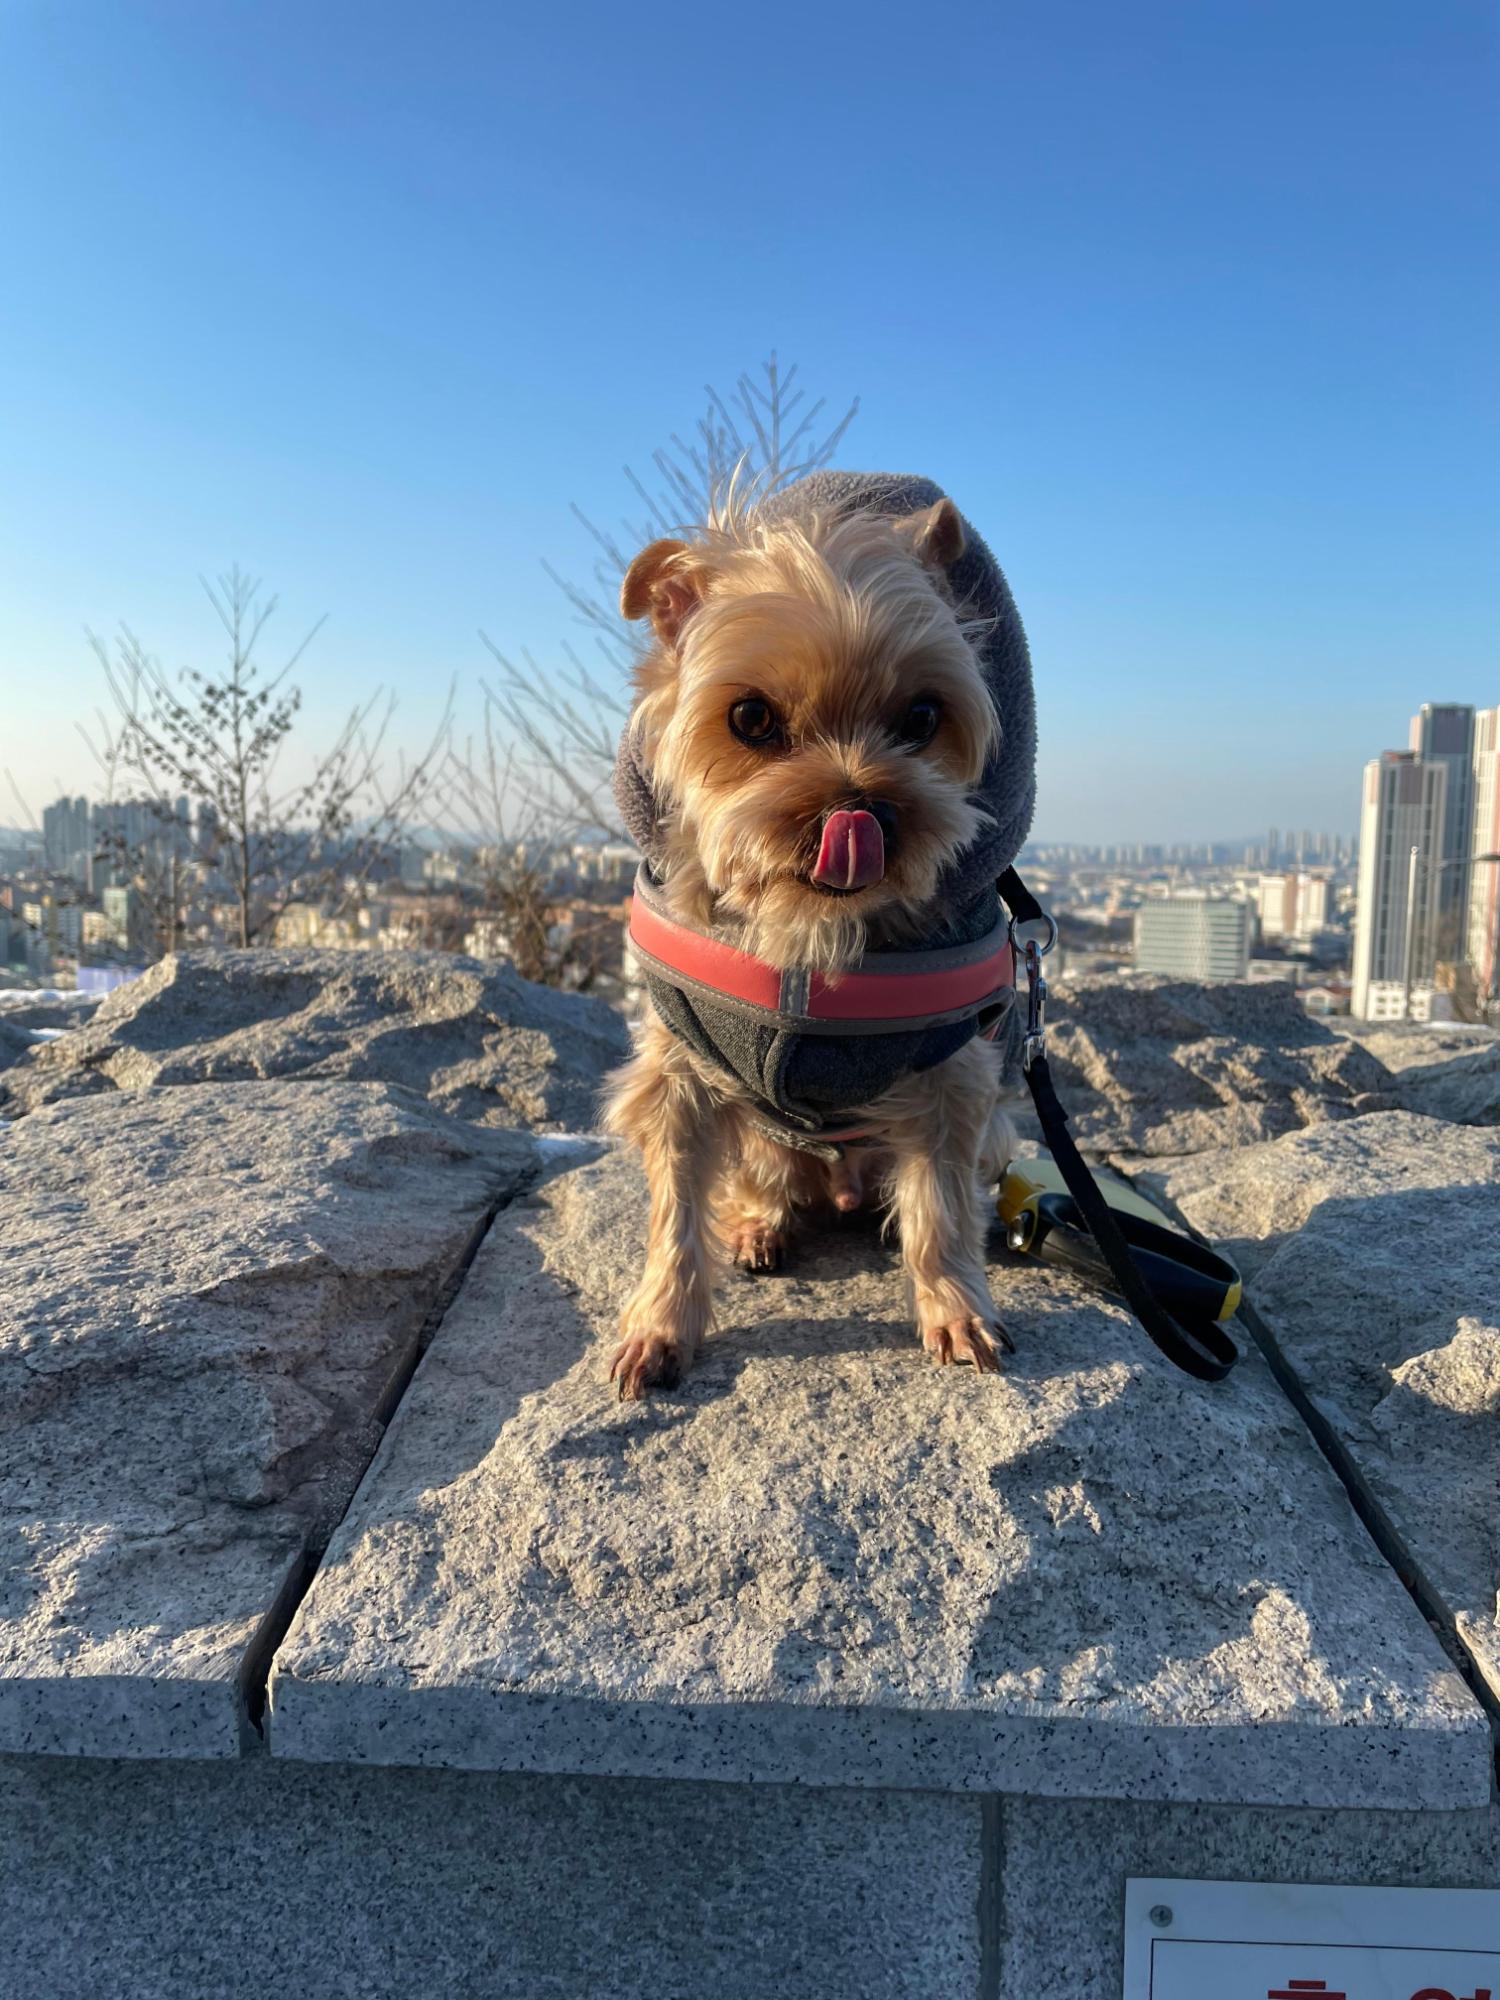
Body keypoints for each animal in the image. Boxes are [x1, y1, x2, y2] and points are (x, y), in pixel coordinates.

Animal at [603, 473, 1036, 1399]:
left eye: (922, 715)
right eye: (750, 718)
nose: (858, 806)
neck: (814, 933)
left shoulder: (952, 1075)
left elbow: (941, 1206)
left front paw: (956, 1308)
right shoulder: (680, 1069)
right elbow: (675, 1208)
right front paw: (660, 1326)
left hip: (995, 1133)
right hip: (765, 1139)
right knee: (763, 1176)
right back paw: (760, 1227)